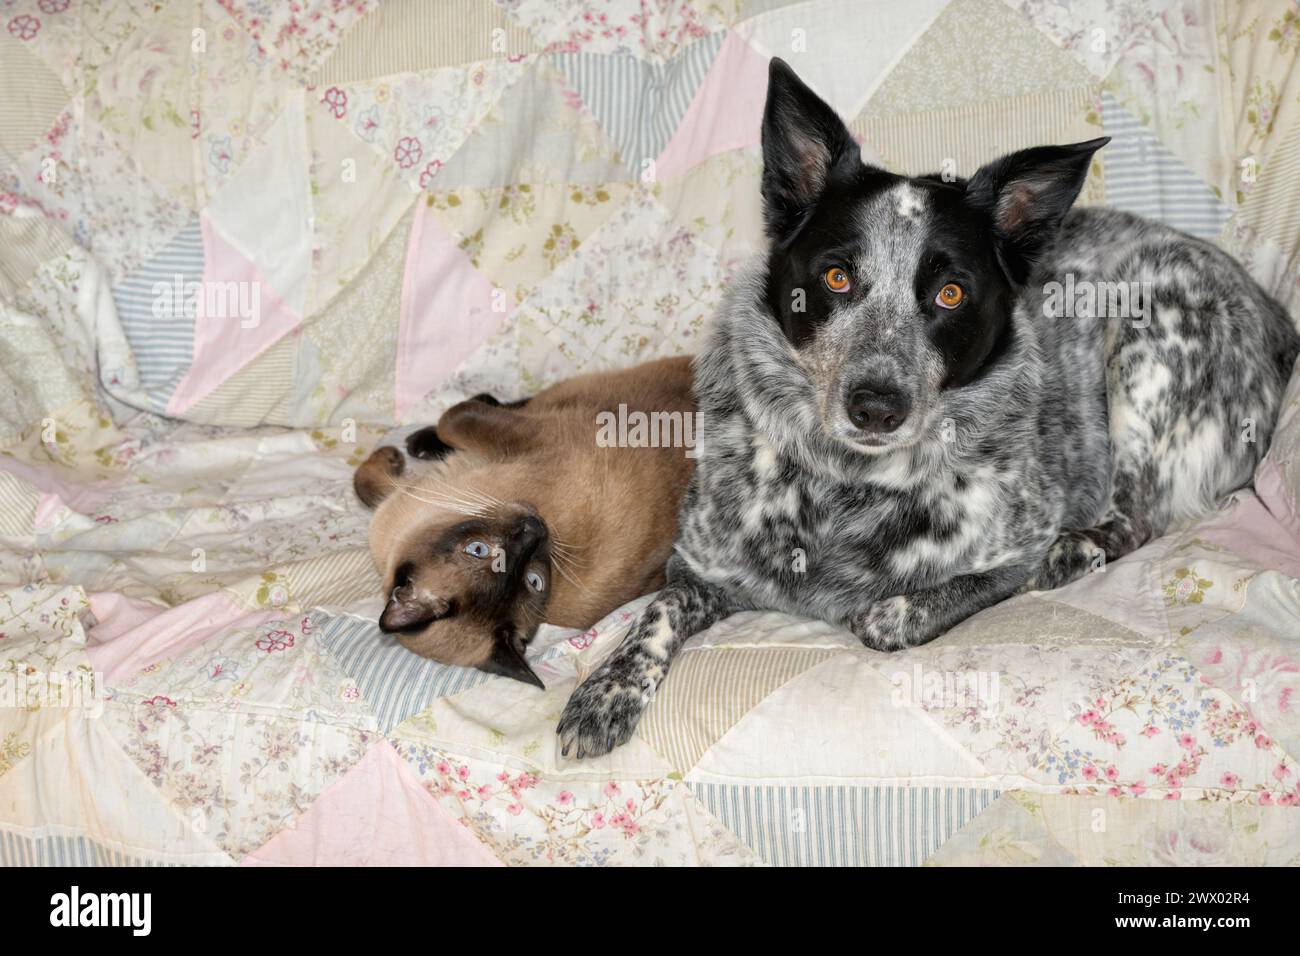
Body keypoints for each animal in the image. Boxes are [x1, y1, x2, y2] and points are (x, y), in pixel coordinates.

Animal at [356, 358, 696, 686]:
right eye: (480, 550)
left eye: (533, 580)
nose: (534, 528)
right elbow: (369, 486)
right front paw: (394, 459)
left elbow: (451, 417)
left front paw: (395, 454)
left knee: (499, 403)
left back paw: (420, 441)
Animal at [556, 59, 1300, 764]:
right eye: (836, 277)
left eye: (949, 293)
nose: (876, 405)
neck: (843, 487)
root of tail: (1275, 316)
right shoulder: (701, 567)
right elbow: (659, 610)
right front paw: (605, 692)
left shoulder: (1016, 546)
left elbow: (922, 604)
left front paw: (905, 608)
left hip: (1151, 339)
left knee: (1137, 516)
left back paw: (1082, 548)